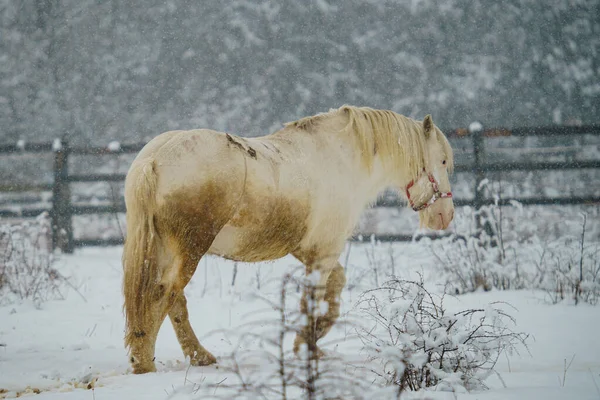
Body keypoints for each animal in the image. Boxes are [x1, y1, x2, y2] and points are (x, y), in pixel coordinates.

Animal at [122, 105, 452, 372]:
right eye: (443, 161)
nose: (445, 216)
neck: (343, 157)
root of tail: (154, 160)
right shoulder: (325, 252)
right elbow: (314, 298)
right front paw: (306, 346)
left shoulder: (309, 250)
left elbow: (334, 289)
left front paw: (311, 342)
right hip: (190, 249)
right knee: (163, 295)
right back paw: (147, 362)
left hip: (164, 250)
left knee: (170, 299)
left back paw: (197, 356)